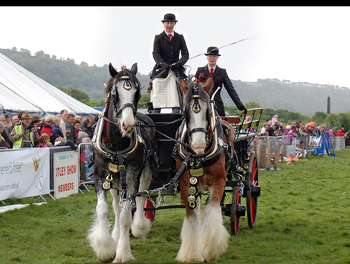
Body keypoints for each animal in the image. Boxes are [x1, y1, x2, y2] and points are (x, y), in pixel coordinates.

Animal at [175, 77, 235, 262]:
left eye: (208, 111)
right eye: (184, 112)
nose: (198, 146)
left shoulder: (219, 181)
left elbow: (212, 209)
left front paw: (211, 248)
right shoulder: (186, 183)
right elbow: (192, 215)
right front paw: (191, 253)